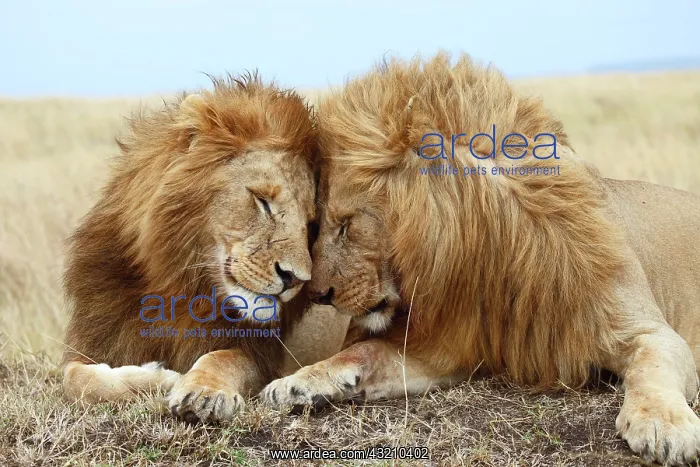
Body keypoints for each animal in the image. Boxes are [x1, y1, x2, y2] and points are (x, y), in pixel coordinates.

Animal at [62, 73, 329, 423]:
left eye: (310, 224)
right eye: (262, 201)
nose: (296, 279)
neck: (180, 284)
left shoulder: (260, 355)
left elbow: (221, 358)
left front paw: (203, 392)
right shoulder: (95, 341)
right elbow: (74, 379)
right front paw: (159, 378)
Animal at [261, 53, 700, 465]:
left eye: (347, 225)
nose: (317, 294)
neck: (494, 255)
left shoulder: (649, 331)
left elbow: (651, 368)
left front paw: (663, 425)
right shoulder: (449, 347)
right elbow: (365, 351)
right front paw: (299, 382)